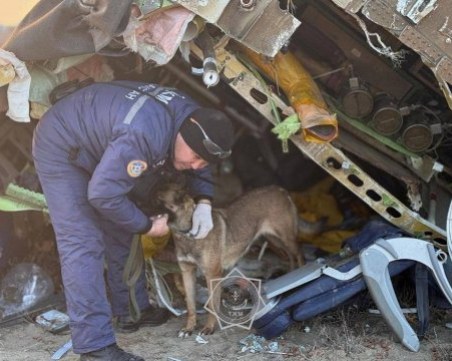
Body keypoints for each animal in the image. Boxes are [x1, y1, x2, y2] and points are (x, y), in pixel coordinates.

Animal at [157, 184, 306, 336]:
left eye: (158, 201)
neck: (188, 232)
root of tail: (278, 189)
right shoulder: (187, 272)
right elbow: (191, 305)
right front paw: (189, 328)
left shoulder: (212, 274)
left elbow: (212, 304)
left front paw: (209, 327)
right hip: (274, 240)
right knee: (289, 256)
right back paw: (292, 273)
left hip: (286, 238)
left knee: (299, 254)